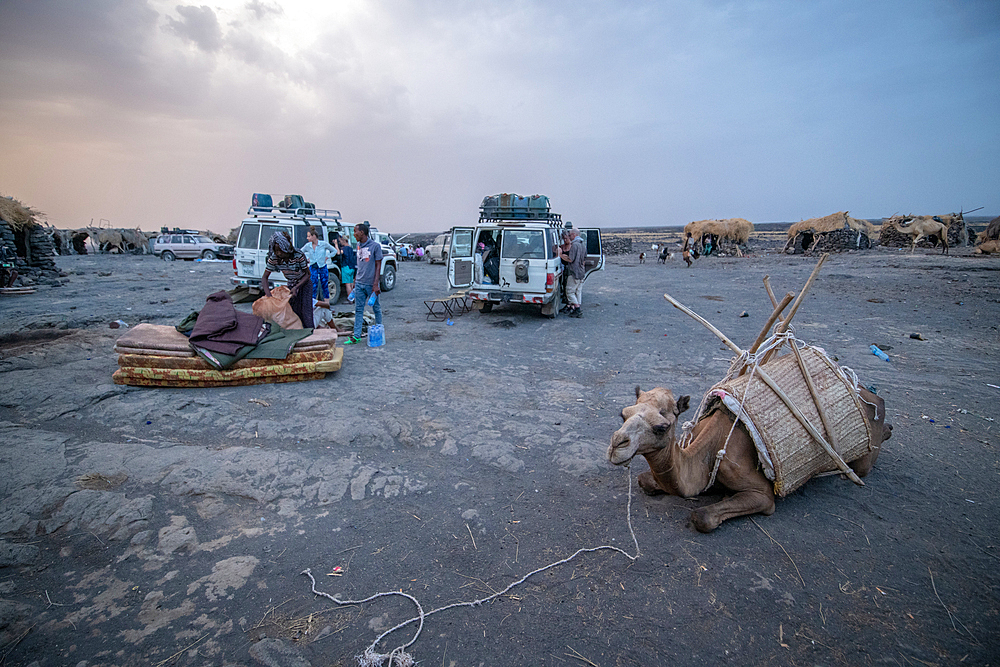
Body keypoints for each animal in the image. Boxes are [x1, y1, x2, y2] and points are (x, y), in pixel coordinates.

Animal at [604, 386, 896, 532]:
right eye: (623, 414)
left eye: (661, 427)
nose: (616, 445)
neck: (705, 454)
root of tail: (869, 393)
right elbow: (645, 480)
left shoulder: (759, 491)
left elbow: (703, 517)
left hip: (861, 456)